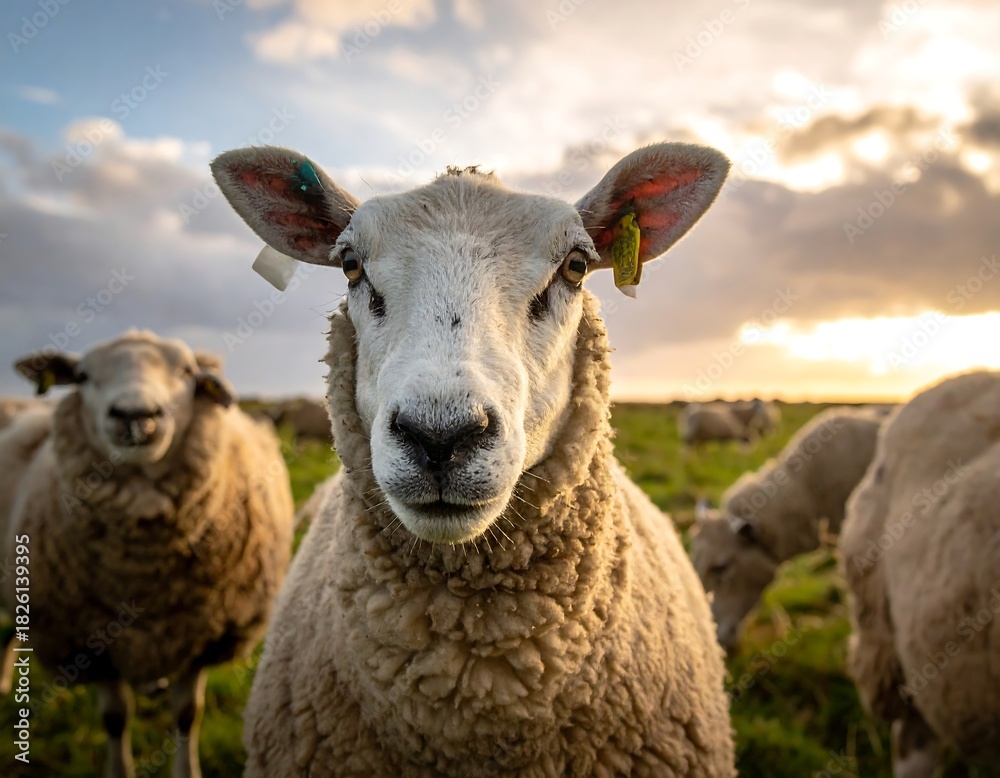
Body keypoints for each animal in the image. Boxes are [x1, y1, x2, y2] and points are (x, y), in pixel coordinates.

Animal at [0, 331, 294, 778]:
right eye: (82, 376)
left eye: (187, 372)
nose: (135, 414)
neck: (142, 574)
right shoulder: (91, 646)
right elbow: (115, 719)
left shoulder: (203, 639)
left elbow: (187, 714)